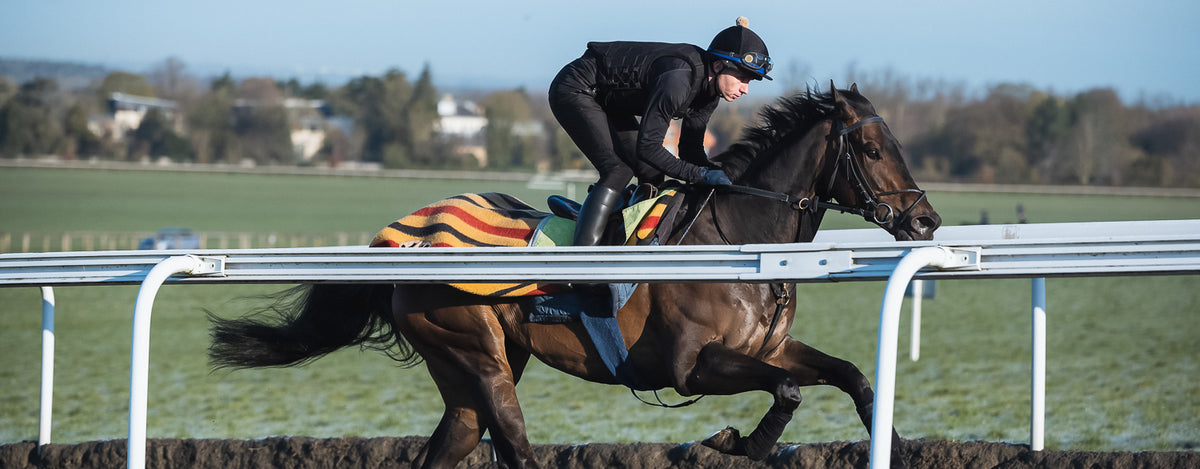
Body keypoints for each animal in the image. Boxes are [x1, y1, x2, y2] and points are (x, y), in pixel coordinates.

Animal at [207, 83, 942, 469]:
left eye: (899, 143)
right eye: (872, 148)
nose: (926, 219)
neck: (738, 242)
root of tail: (403, 238)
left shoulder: (768, 347)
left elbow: (852, 375)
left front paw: (895, 441)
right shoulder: (689, 366)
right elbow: (786, 391)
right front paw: (736, 440)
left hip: (473, 365)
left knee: (456, 438)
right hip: (477, 352)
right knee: (512, 441)